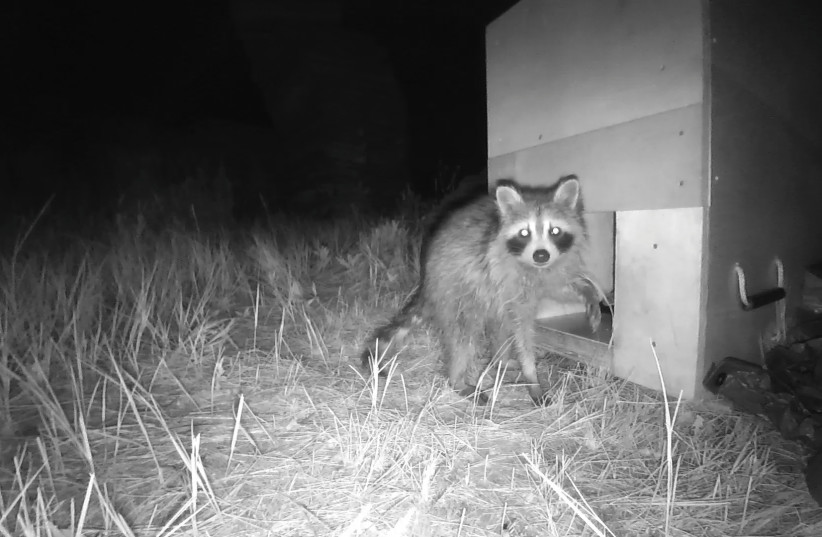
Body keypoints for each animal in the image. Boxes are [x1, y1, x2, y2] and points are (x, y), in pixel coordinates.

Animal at [361, 175, 601, 405]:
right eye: (524, 233)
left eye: (555, 231)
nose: (541, 255)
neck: (533, 268)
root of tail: (426, 282)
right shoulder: (507, 277)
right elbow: (522, 332)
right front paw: (531, 377)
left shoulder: (550, 269)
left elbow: (560, 285)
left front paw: (589, 293)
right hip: (457, 288)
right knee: (464, 336)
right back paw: (458, 380)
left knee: (500, 324)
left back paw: (500, 360)